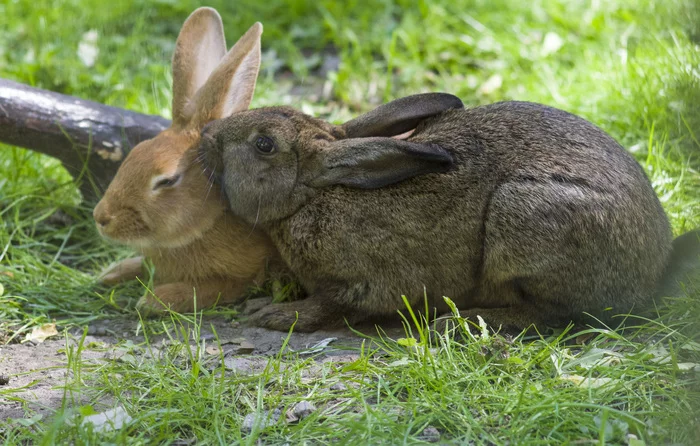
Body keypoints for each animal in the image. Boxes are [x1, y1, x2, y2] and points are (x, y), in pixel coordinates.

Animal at [93, 6, 278, 314]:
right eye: (134, 153)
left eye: (167, 180)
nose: (101, 218)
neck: (206, 223)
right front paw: (111, 273)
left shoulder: (245, 276)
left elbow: (210, 289)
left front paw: (154, 300)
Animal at [197, 93, 700, 332]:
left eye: (264, 144)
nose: (206, 135)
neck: (313, 194)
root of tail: (653, 270)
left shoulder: (361, 281)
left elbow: (330, 304)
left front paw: (272, 316)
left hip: (525, 218)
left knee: (556, 314)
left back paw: (463, 324)